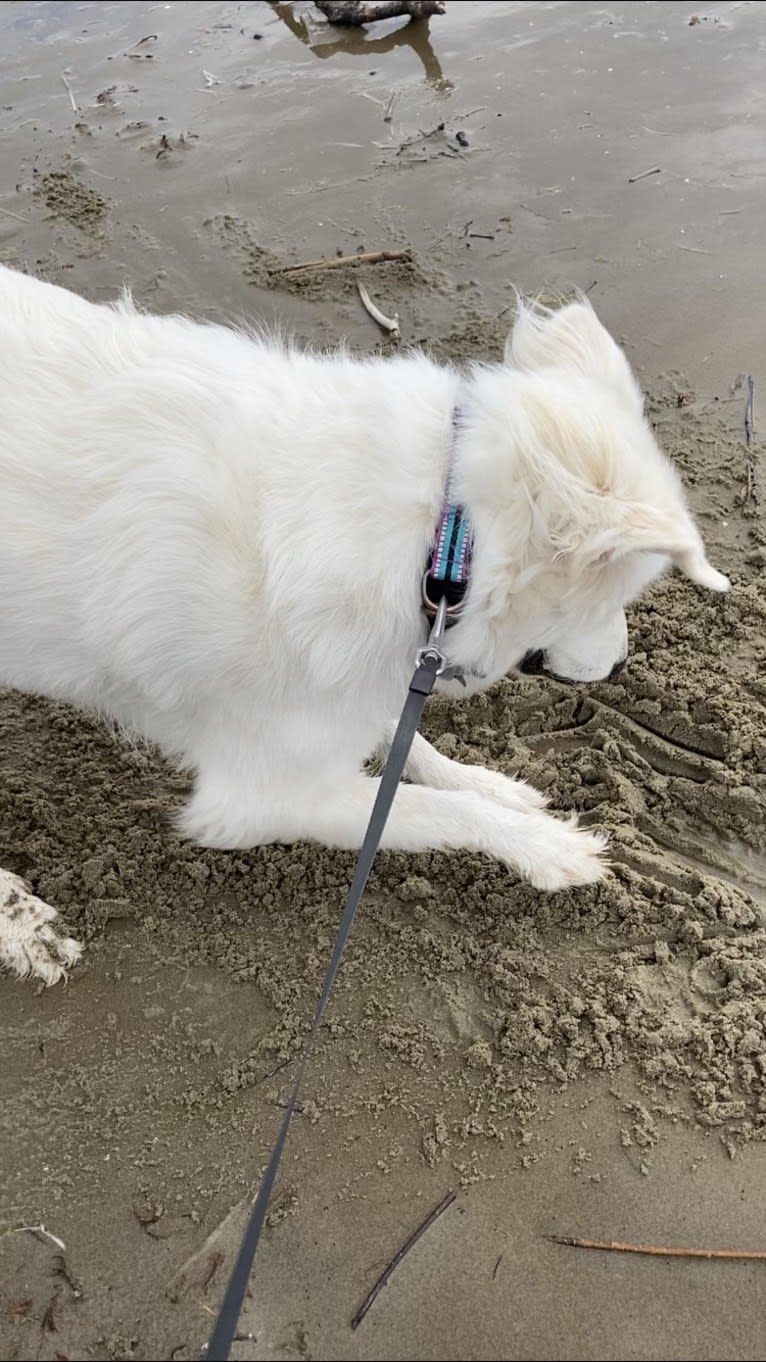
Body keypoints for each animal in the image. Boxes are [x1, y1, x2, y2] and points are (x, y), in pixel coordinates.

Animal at [0, 265, 725, 986]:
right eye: (614, 598)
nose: (623, 665)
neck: (443, 544)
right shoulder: (259, 797)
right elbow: (428, 807)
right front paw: (549, 848)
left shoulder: (366, 669)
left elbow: (412, 746)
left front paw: (492, 784)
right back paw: (23, 923)